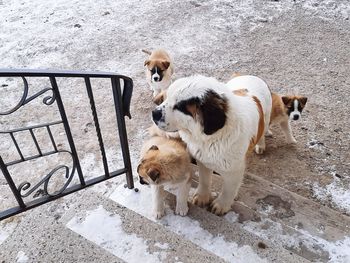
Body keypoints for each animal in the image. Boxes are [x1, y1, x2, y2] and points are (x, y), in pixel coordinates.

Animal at [152, 75, 272, 216]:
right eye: (166, 97)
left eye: (180, 107)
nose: (154, 113)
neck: (212, 137)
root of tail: (252, 76)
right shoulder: (203, 160)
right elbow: (204, 179)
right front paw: (202, 197)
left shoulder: (234, 170)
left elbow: (228, 189)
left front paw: (221, 205)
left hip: (266, 117)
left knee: (263, 132)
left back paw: (261, 145)